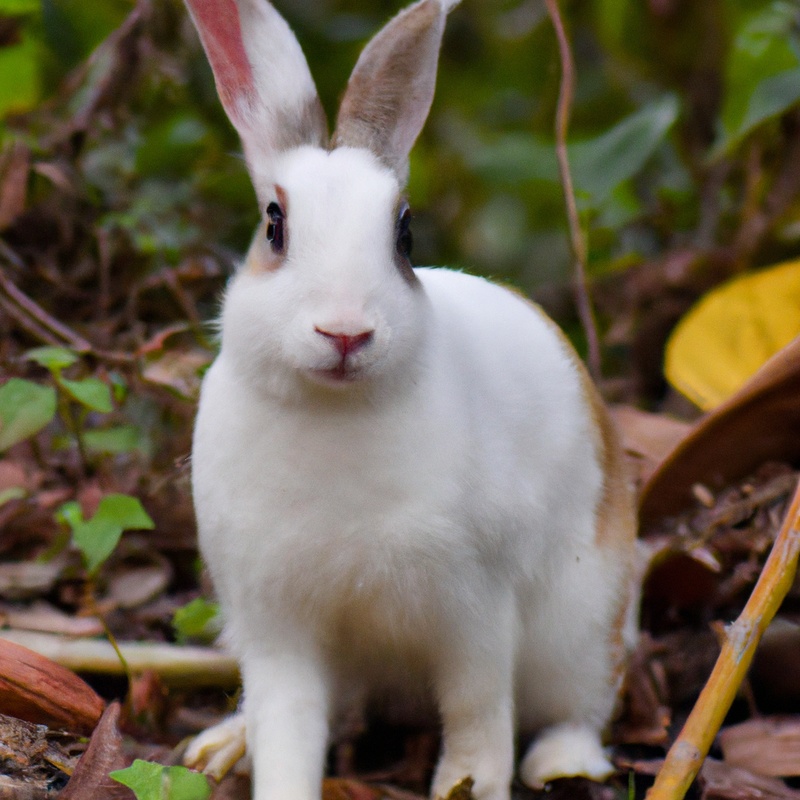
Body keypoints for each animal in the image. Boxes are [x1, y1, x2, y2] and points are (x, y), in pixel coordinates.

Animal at [182, 1, 639, 799]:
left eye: (404, 233)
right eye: (274, 224)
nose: (345, 332)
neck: (334, 411)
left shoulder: (473, 608)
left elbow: (477, 709)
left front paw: (473, 784)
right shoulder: (276, 629)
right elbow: (288, 729)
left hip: (581, 629)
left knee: (579, 708)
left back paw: (562, 763)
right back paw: (221, 746)